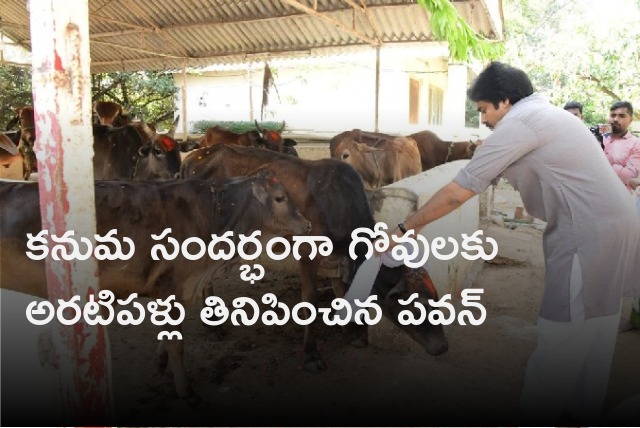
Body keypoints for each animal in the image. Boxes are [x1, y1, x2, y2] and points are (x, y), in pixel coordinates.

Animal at [0, 171, 310, 402]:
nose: (307, 224)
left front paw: (160, 363)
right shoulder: (172, 287)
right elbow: (177, 343)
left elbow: (165, 335)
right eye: (280, 198)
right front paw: (185, 391)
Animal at [180, 144, 450, 372]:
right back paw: (212, 325)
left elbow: (341, 291)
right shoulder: (307, 252)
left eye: (435, 298)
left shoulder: (340, 258)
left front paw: (351, 333)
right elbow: (311, 299)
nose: (443, 346)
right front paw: (311, 354)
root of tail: (196, 156)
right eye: (417, 306)